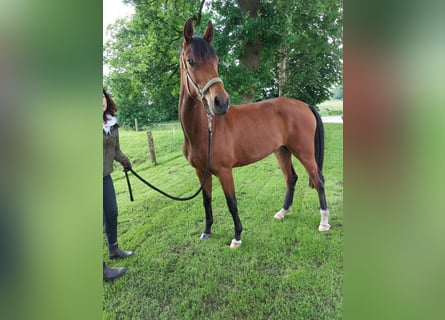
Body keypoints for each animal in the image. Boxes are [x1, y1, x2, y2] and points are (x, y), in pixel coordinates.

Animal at [179, 18, 328, 249]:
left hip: (304, 152)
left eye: (216, 61)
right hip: (282, 151)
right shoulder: (200, 172)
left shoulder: (225, 171)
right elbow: (206, 201)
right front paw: (207, 231)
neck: (205, 129)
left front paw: (237, 237)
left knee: (318, 179)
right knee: (291, 178)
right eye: (190, 60)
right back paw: (283, 212)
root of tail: (304, 105)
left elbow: (231, 203)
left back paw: (323, 222)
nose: (220, 102)